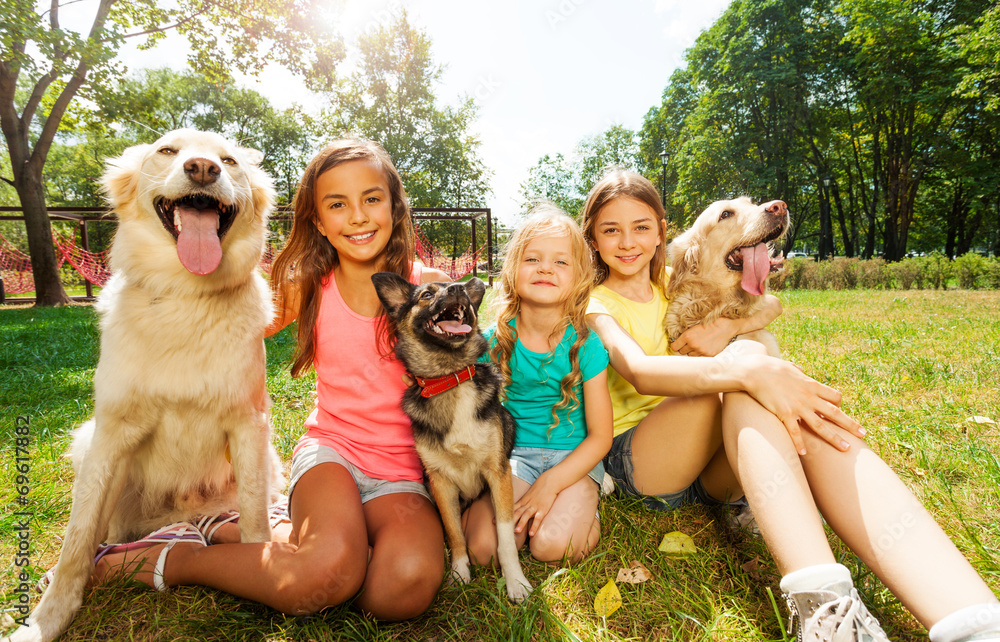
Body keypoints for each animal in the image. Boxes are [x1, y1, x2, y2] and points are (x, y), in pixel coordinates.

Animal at [10, 130, 286, 640]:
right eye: (168, 151)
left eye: (228, 161)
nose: (202, 169)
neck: (186, 295)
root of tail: (183, 515)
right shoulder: (111, 433)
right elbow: (77, 540)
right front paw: (45, 620)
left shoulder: (248, 424)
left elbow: (256, 519)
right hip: (87, 441)